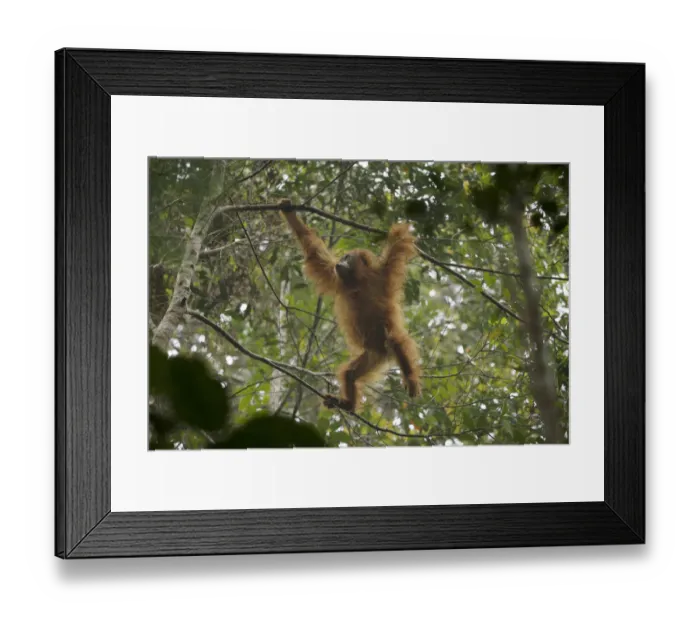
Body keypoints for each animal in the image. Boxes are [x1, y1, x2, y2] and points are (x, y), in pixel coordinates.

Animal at [279, 199, 421, 413]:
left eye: (347, 257)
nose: (340, 261)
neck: (358, 280)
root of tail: (383, 353)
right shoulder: (336, 277)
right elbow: (315, 254)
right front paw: (289, 212)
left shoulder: (384, 273)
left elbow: (398, 242)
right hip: (371, 356)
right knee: (350, 374)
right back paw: (347, 404)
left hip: (383, 345)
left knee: (395, 339)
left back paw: (410, 379)